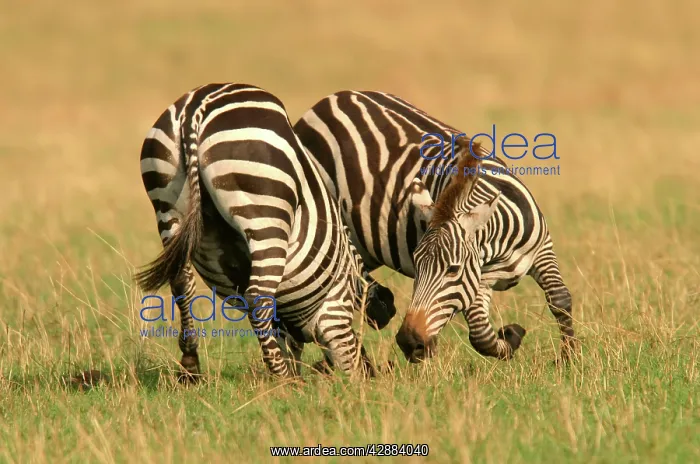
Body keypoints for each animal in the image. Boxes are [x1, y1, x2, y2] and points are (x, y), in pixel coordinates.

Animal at [134, 83, 396, 382]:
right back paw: (283, 378)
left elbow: (281, 331)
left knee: (181, 283)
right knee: (257, 297)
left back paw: (190, 366)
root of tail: (196, 108)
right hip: (265, 209)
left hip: (167, 203)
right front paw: (292, 372)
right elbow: (287, 330)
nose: (363, 380)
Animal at [293, 90, 576, 364]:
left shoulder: (542, 249)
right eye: (417, 266)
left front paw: (568, 358)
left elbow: (559, 299)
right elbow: (480, 336)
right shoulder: (477, 283)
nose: (408, 342)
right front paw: (512, 337)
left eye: (453, 269)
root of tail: (327, 102)